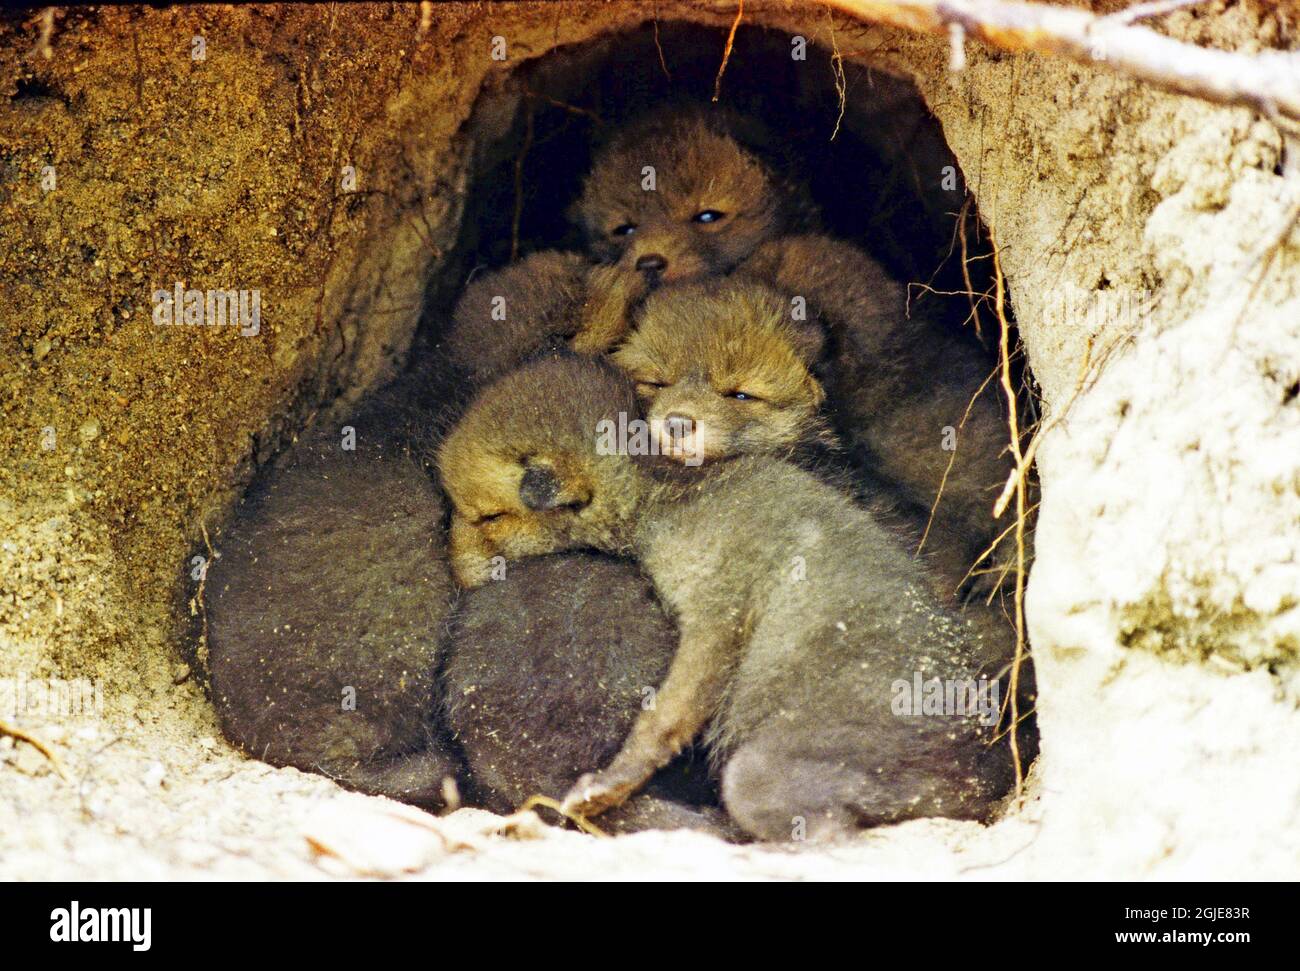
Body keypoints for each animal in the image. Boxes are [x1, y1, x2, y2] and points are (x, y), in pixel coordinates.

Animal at [437, 355, 1030, 841]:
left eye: (488, 517)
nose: (452, 573)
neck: (671, 491)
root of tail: (983, 770)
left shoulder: (716, 616)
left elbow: (662, 722)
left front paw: (605, 786)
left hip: (759, 775)